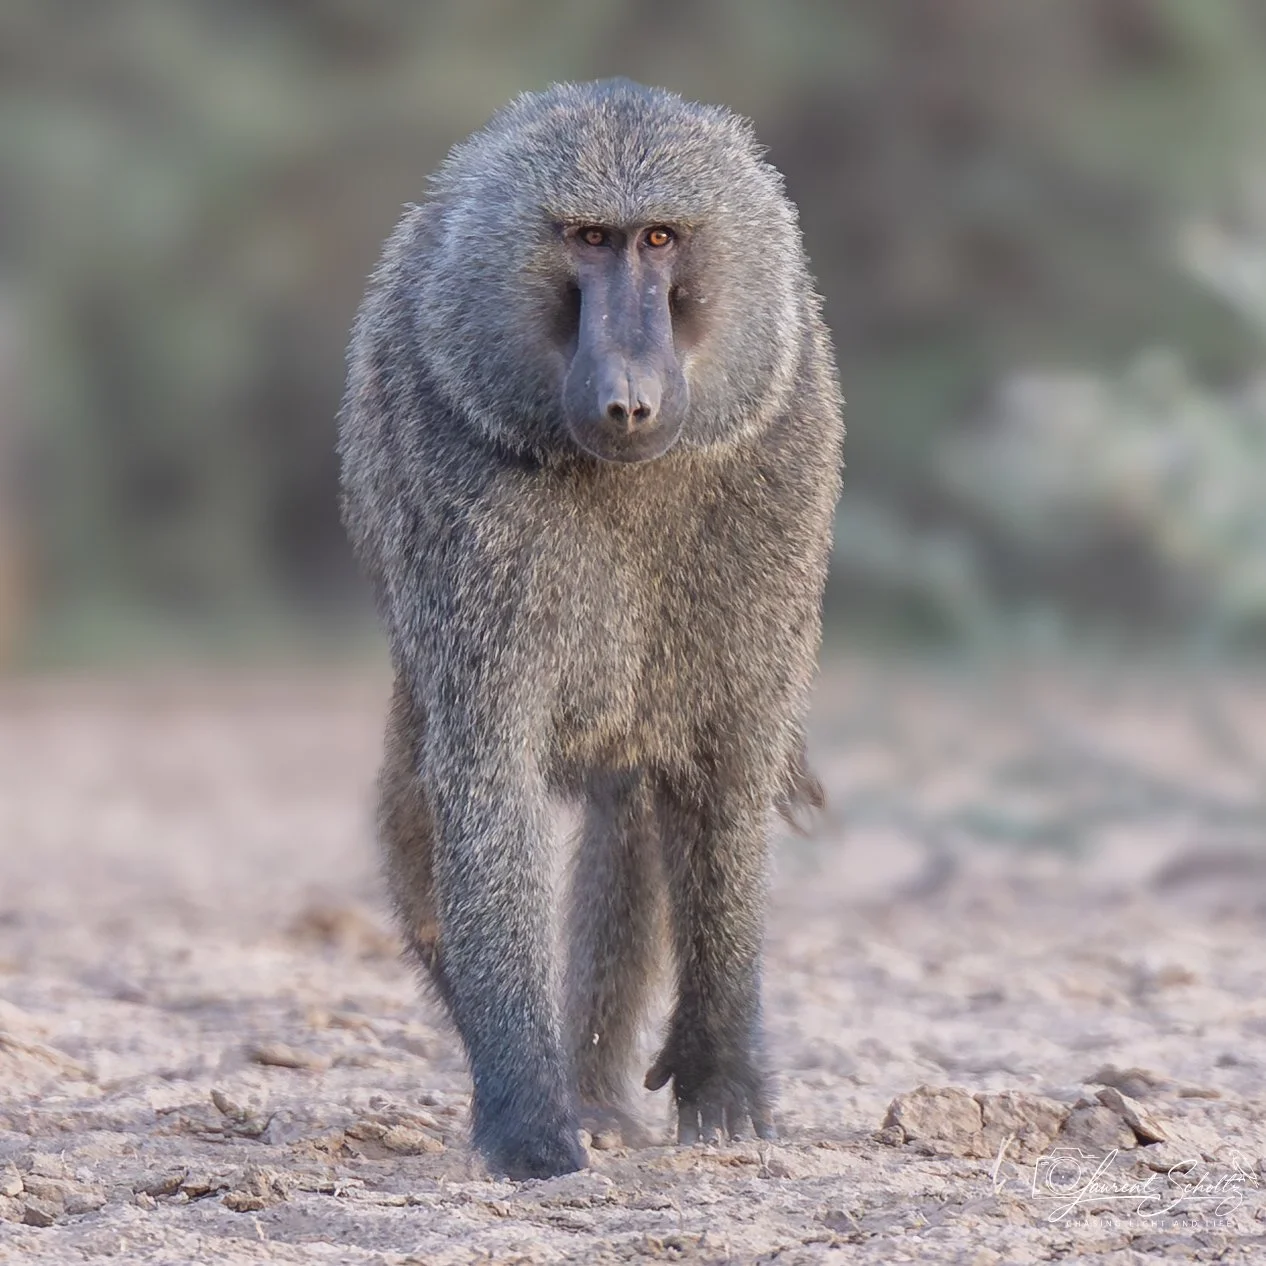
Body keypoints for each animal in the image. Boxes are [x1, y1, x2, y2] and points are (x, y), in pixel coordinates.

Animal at [337, 79, 844, 1180]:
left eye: (658, 237)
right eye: (585, 239)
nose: (626, 399)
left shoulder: (782, 460)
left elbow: (723, 777)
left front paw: (721, 1075)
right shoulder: (457, 480)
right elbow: (487, 785)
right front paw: (531, 1121)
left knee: (638, 816)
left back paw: (607, 1091)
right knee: (417, 813)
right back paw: (576, 1095)